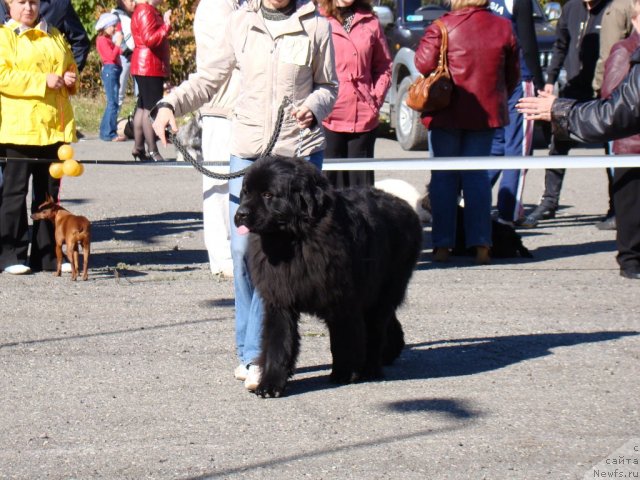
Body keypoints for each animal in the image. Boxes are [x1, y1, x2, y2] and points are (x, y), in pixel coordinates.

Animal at [232, 158, 422, 398]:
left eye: (267, 195)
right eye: (246, 192)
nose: (240, 214)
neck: (295, 240)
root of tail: (404, 205)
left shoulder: (341, 300)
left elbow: (341, 339)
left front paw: (343, 373)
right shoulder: (280, 297)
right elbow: (278, 342)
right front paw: (270, 384)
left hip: (385, 288)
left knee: (375, 327)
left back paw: (370, 368)